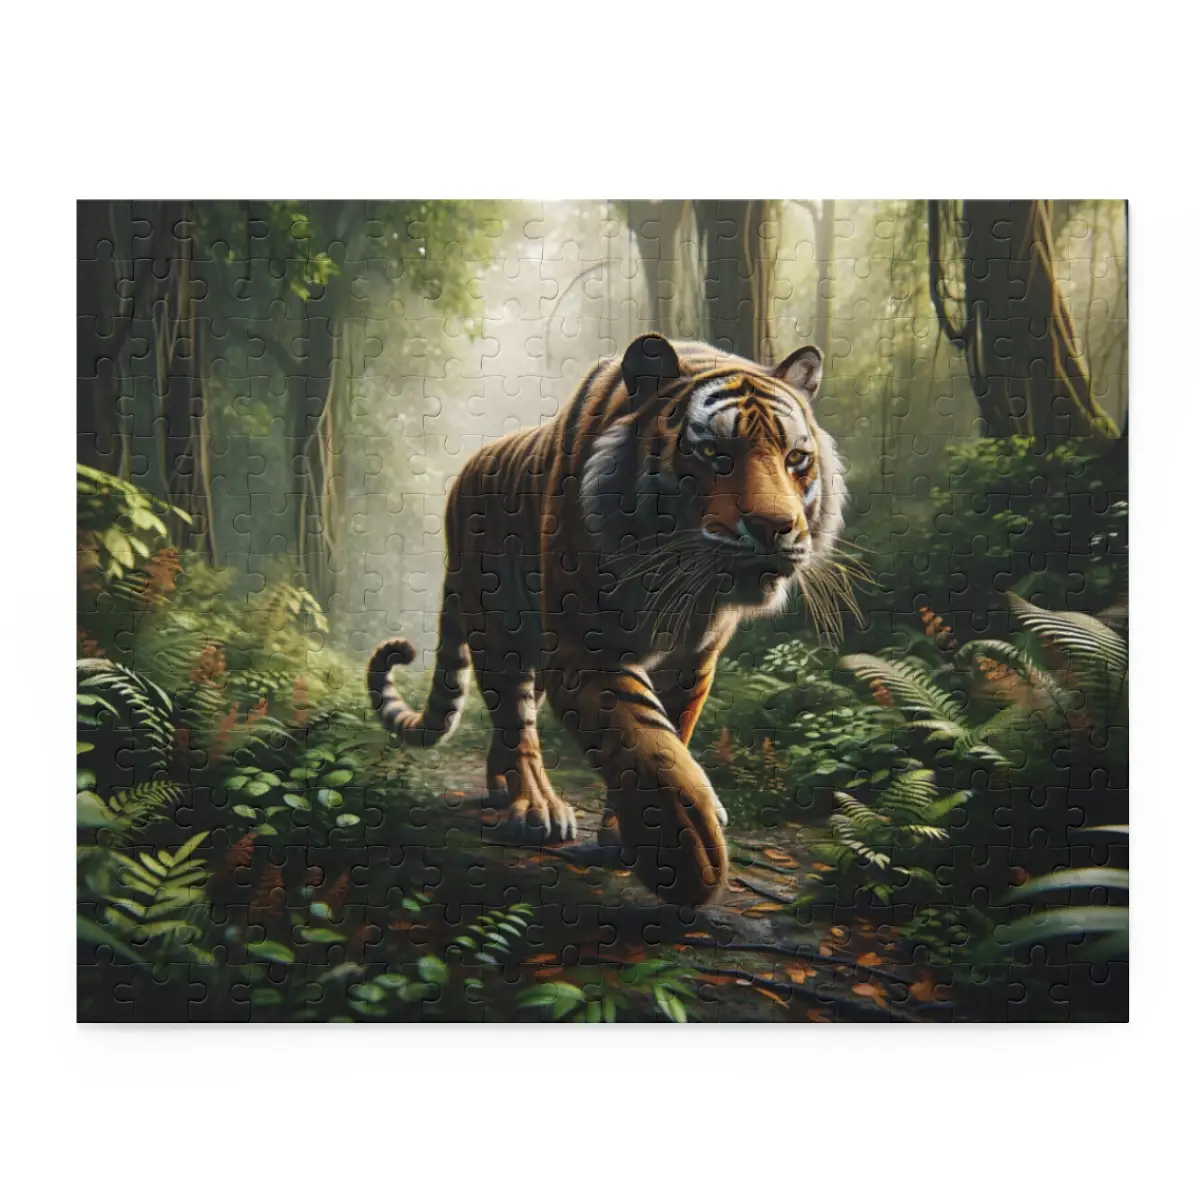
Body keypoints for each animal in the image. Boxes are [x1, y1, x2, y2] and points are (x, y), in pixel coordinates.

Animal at [367, 334, 848, 906]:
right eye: (714, 453)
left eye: (797, 459)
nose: (776, 528)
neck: (682, 584)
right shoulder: (585, 647)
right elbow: (648, 745)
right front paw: (687, 858)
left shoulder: (694, 660)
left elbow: (671, 732)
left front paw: (629, 836)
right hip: (498, 628)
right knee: (516, 723)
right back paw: (534, 808)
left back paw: (501, 792)